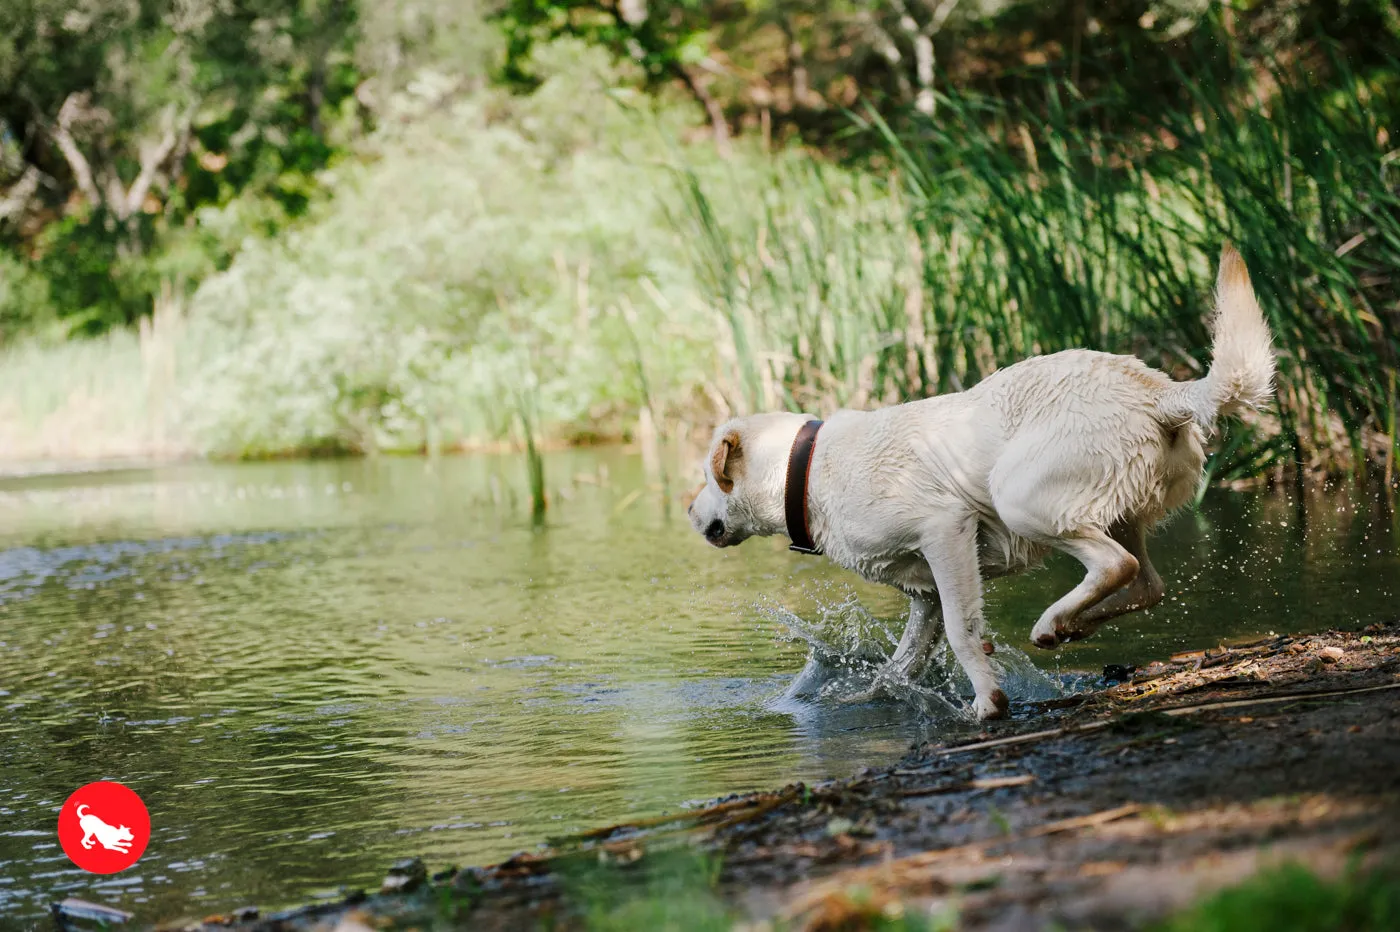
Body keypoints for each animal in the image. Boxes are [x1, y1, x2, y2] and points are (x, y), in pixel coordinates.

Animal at [688, 243, 1271, 713]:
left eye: (708, 479)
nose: (690, 513)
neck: (805, 469)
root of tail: (1160, 393)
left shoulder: (946, 531)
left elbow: (962, 633)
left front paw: (988, 702)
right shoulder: (922, 593)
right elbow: (900, 665)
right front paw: (863, 699)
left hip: (1019, 498)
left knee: (1116, 565)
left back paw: (1052, 622)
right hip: (1118, 510)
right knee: (1148, 582)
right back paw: (1071, 625)